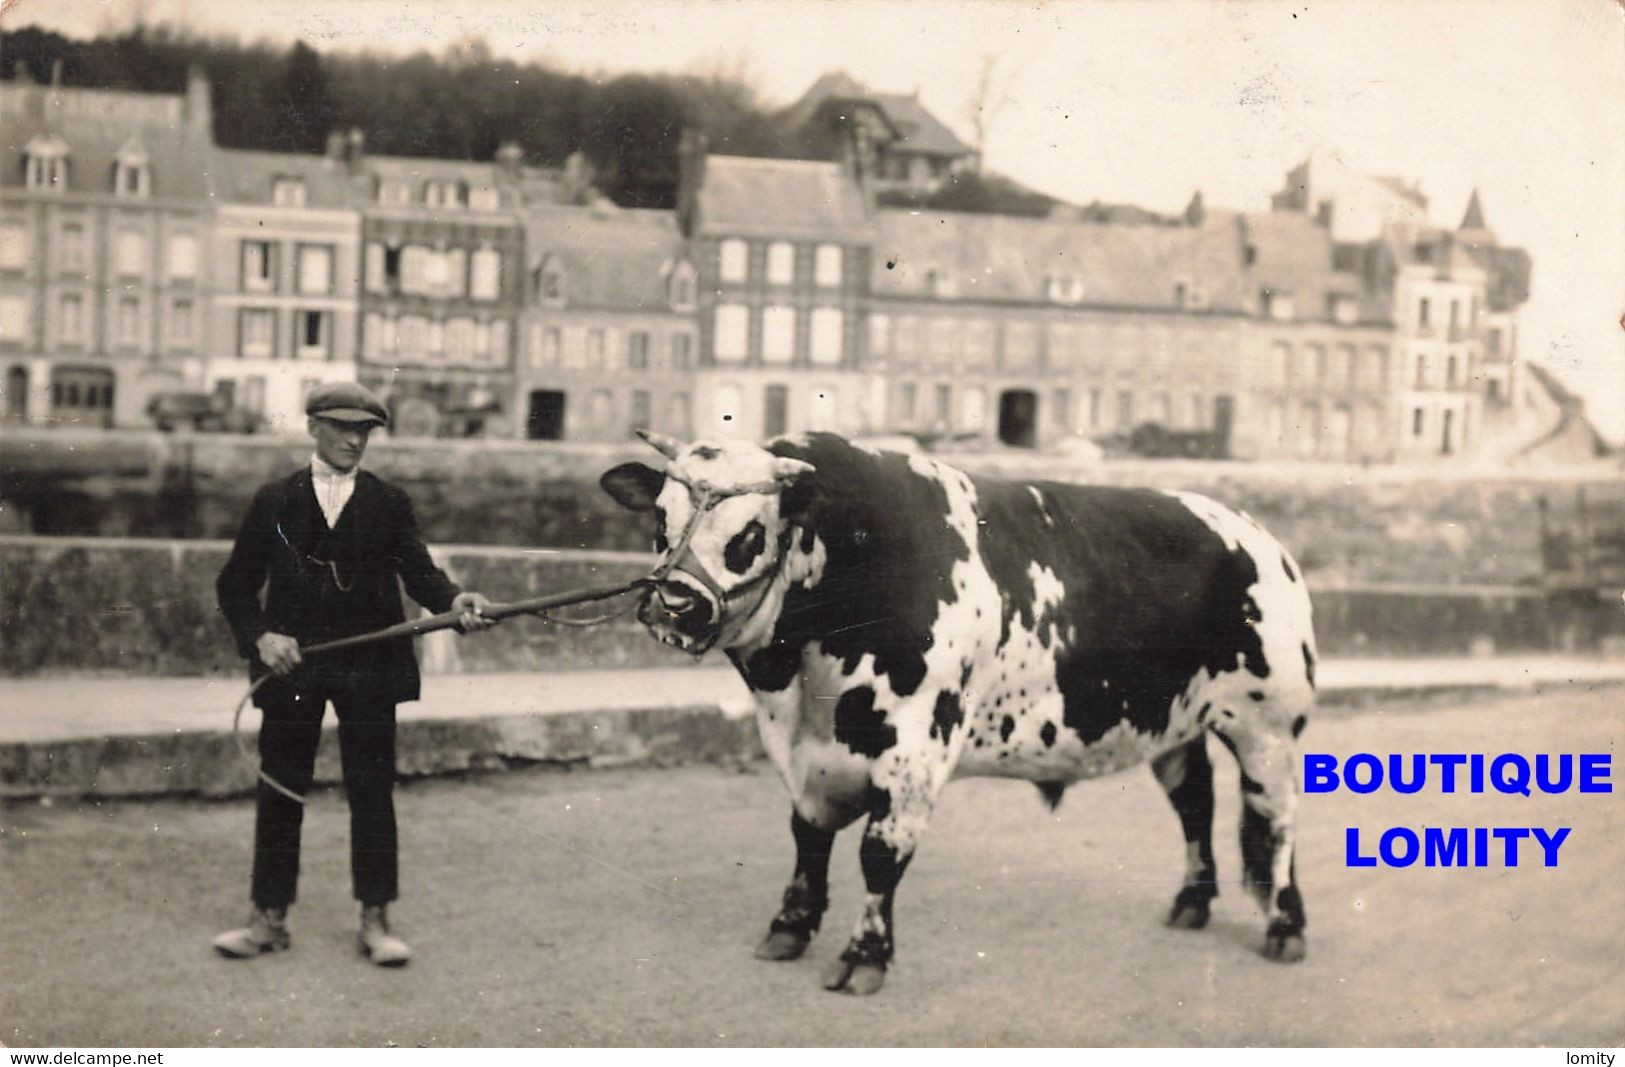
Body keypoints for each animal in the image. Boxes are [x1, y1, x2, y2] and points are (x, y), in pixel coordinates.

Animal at [604, 428, 1313, 993]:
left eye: (749, 533)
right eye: (661, 520)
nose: (673, 606)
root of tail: (1260, 536)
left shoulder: (916, 749)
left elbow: (880, 854)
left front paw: (865, 957)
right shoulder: (806, 753)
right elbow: (808, 838)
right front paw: (789, 929)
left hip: (1268, 727)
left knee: (1278, 822)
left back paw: (1286, 927)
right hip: (1173, 725)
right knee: (1197, 802)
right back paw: (1191, 904)